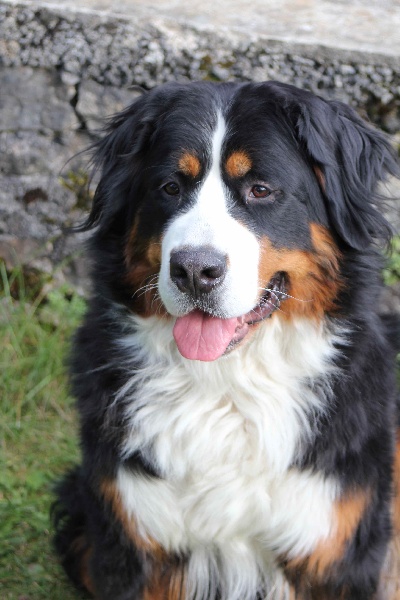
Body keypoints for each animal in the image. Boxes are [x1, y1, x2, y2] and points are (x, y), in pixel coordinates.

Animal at [53, 81, 400, 600]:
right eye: (170, 187)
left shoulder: (335, 549)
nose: (195, 269)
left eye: (260, 189)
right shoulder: (133, 540)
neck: (226, 389)